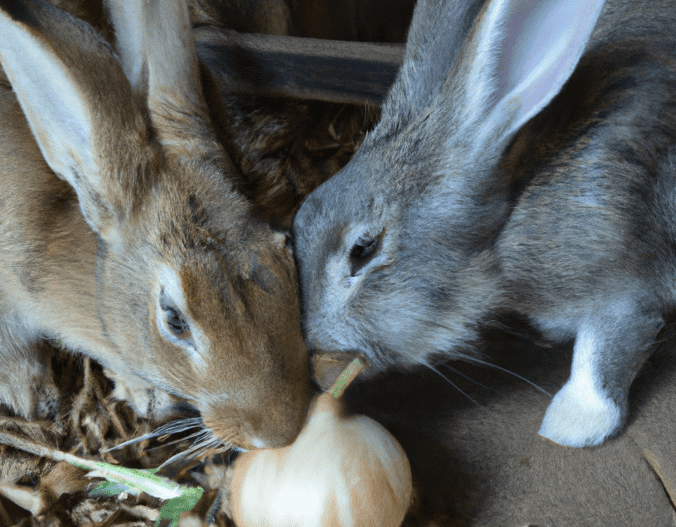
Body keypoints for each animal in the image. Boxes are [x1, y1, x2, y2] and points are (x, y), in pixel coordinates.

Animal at [292, 0, 676, 448]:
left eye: (363, 249)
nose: (322, 369)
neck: (504, 225)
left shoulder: (624, 286)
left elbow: (604, 352)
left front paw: (570, 426)